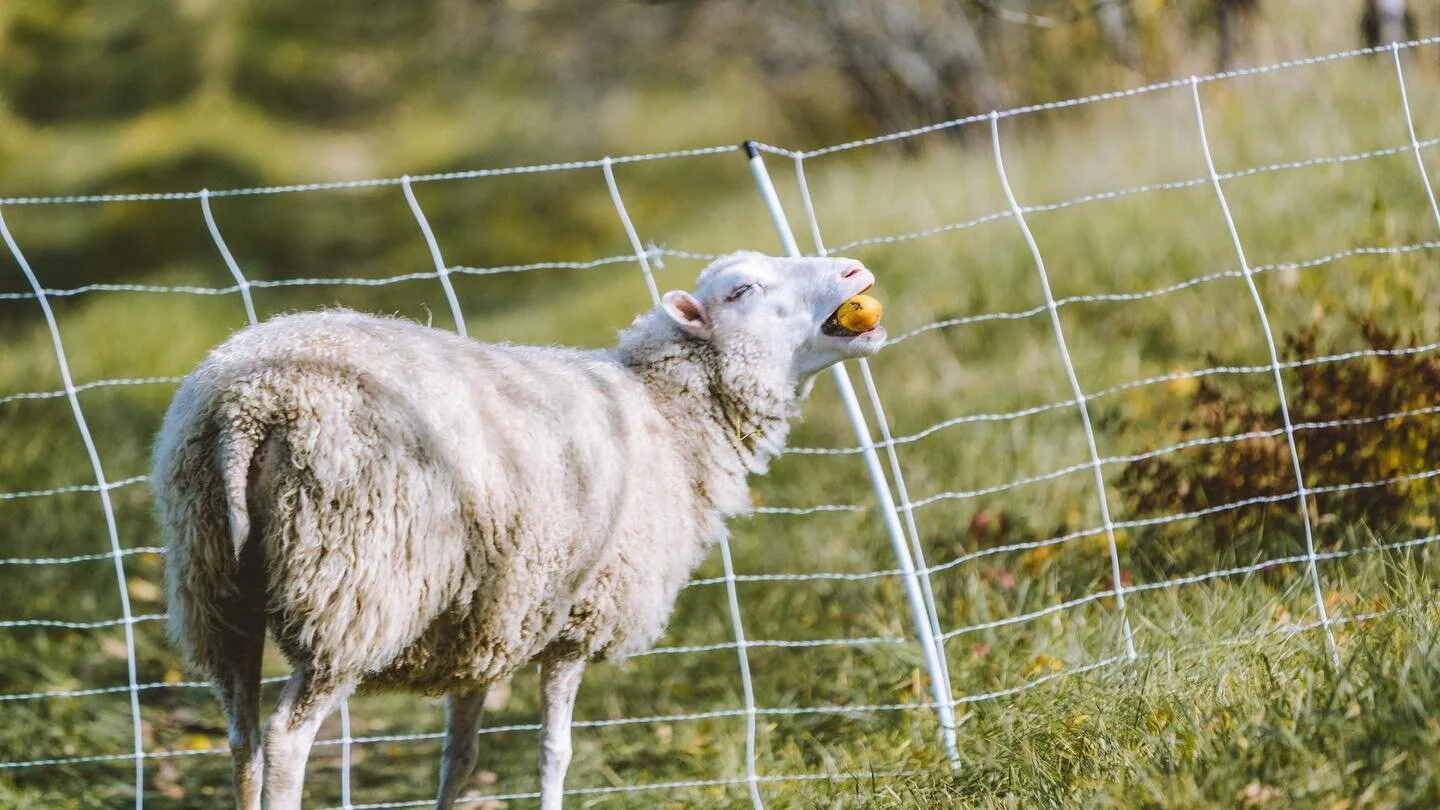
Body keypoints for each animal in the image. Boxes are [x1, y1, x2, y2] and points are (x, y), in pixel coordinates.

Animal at [151, 250, 887, 810]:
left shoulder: (483, 620)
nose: (854, 270)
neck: (669, 418)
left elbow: (460, 755)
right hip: (353, 589)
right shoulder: (577, 618)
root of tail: (252, 401)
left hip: (216, 583)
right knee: (285, 737)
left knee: (242, 734)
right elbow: (553, 751)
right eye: (741, 291)